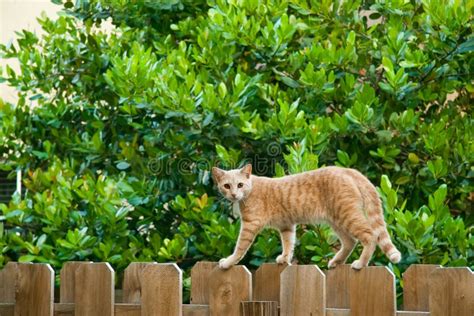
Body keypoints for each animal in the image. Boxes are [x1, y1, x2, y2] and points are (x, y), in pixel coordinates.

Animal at [213, 164, 402, 270]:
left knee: (370, 237)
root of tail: (347, 170)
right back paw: (336, 261)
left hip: (347, 216)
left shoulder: (250, 225)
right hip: (337, 221)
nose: (234, 194)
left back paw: (361, 263)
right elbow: (288, 244)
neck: (250, 190)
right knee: (350, 242)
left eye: (240, 185)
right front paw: (285, 259)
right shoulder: (287, 226)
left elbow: (239, 248)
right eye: (227, 186)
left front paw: (228, 262)